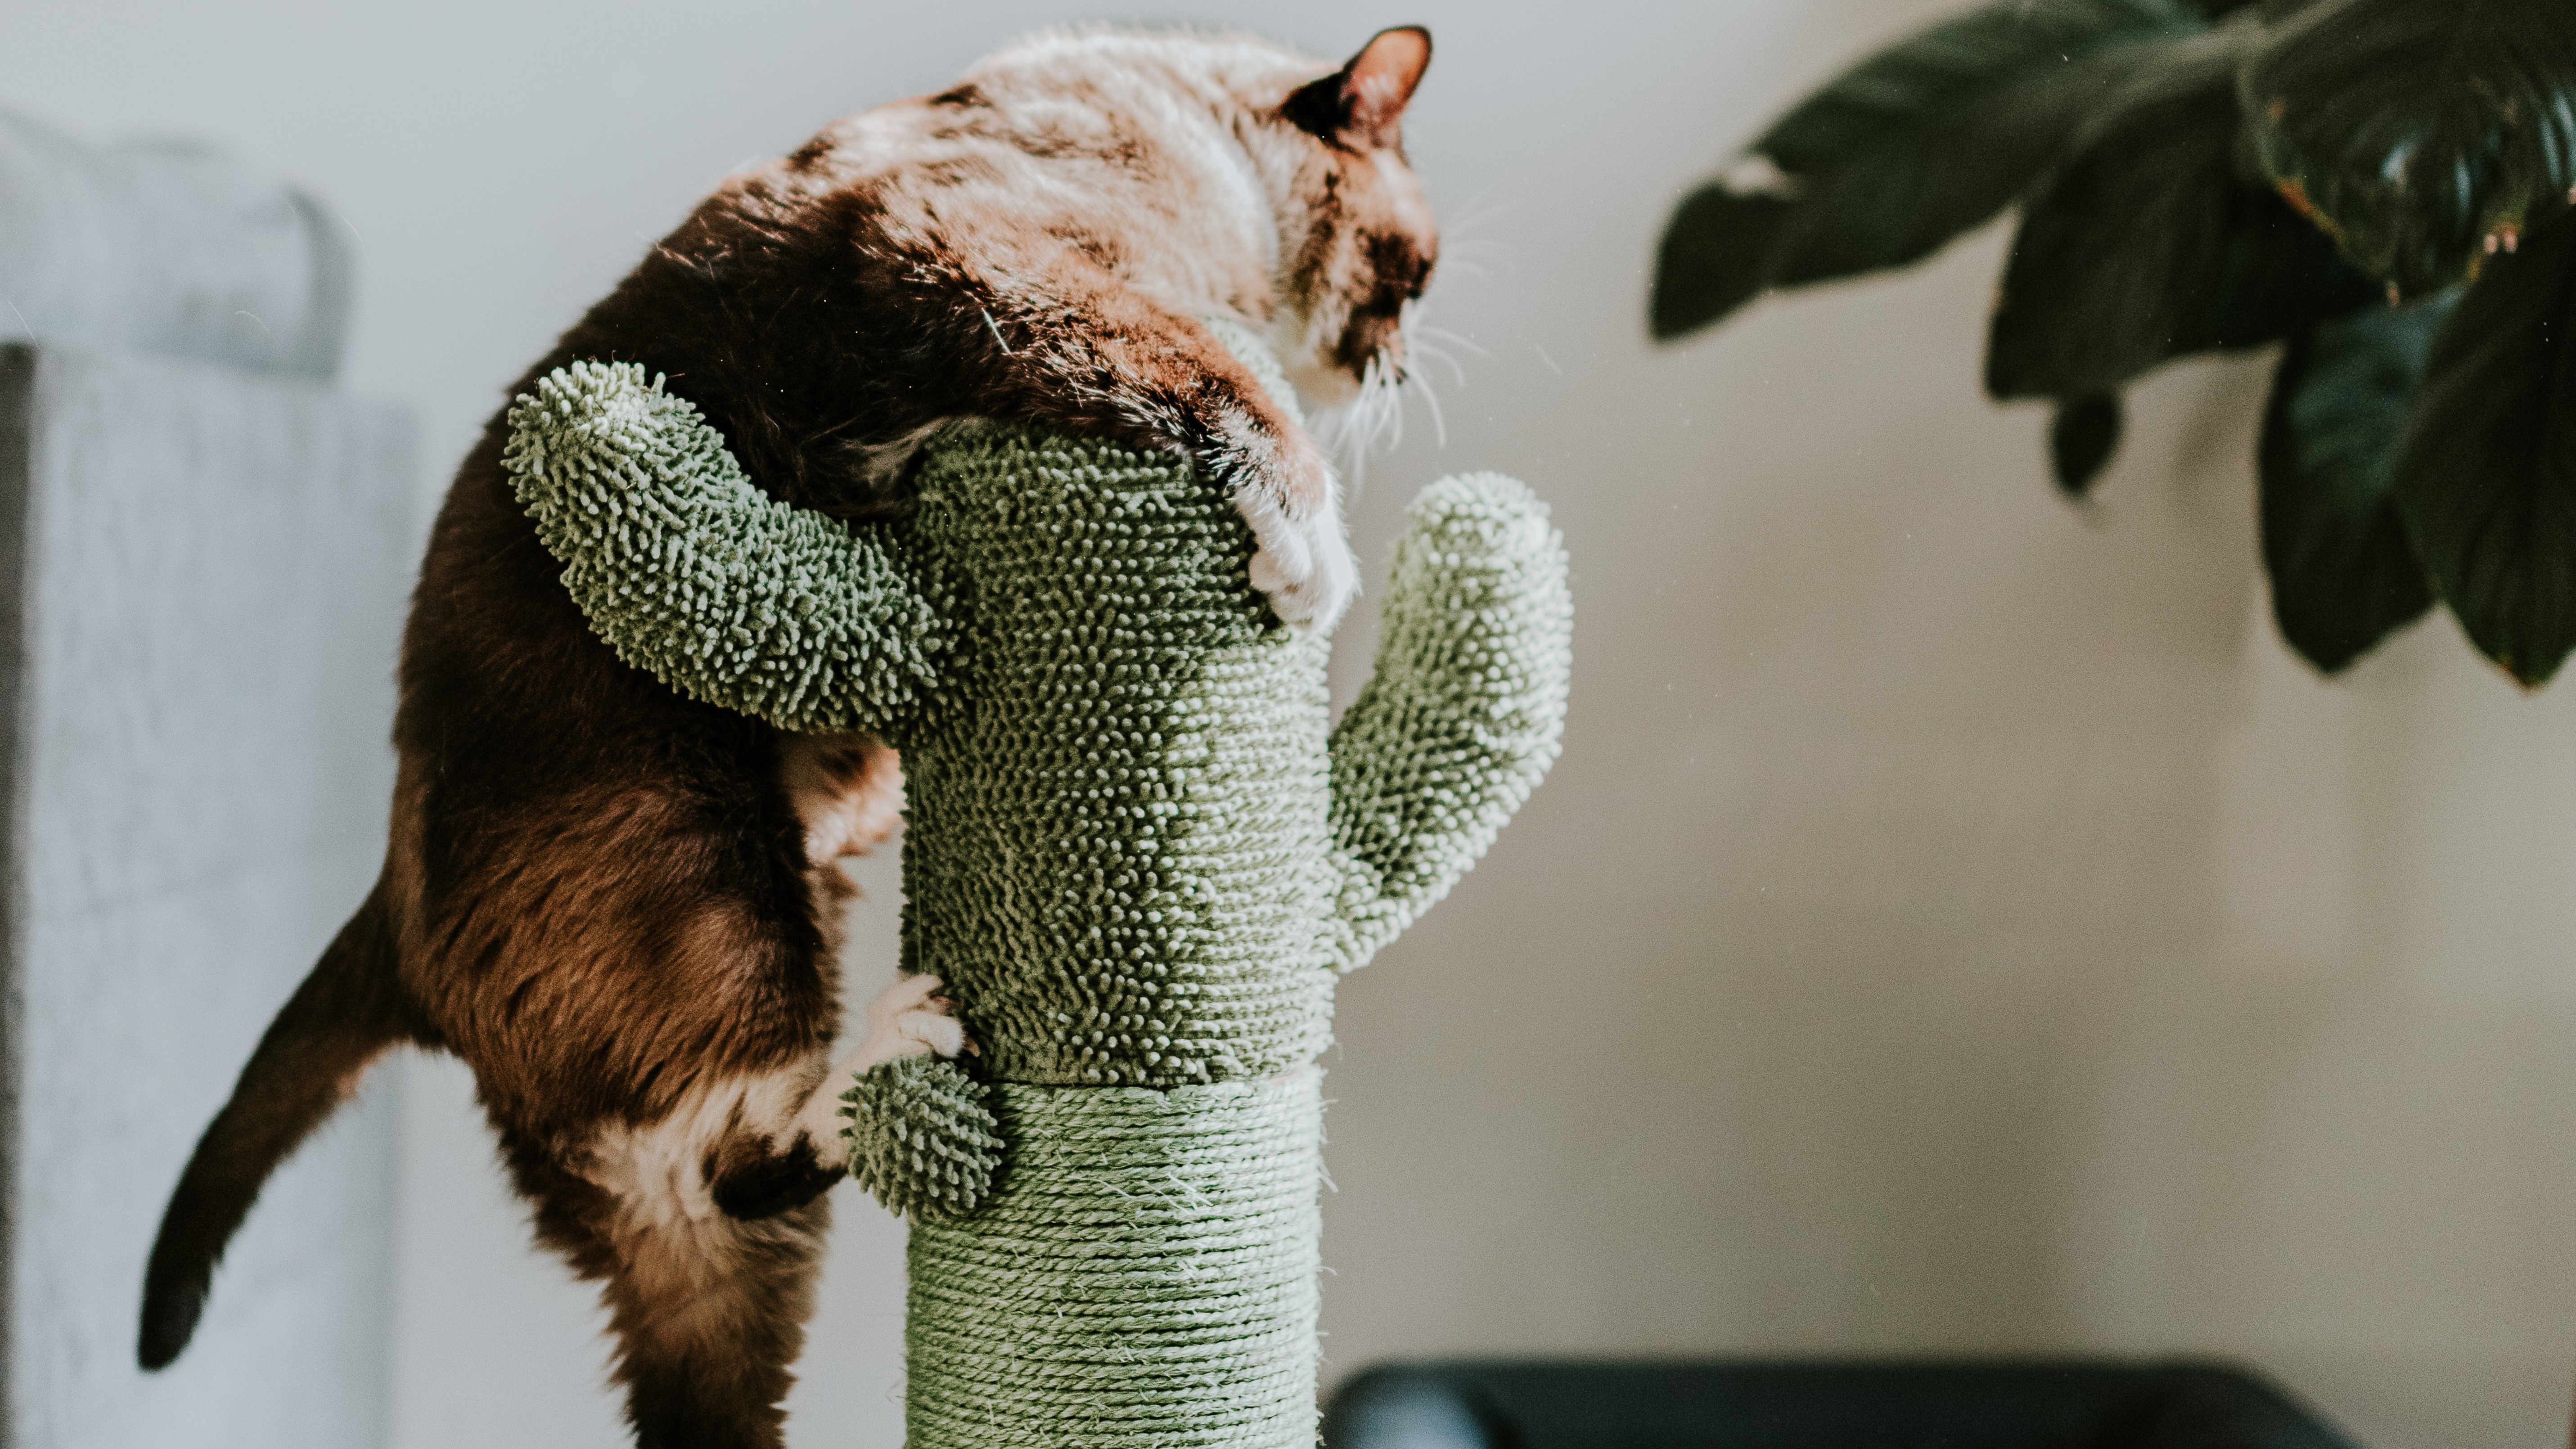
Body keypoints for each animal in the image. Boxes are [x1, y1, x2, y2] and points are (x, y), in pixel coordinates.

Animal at [131, 20, 1442, 1449]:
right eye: (1412, 273)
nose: (1397, 364)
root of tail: (389, 915)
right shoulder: (985, 258)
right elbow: (1219, 390)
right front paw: (1312, 552)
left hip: (750, 1046)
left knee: (712, 1272)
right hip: (707, 872)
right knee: (732, 1155)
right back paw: (897, 1043)